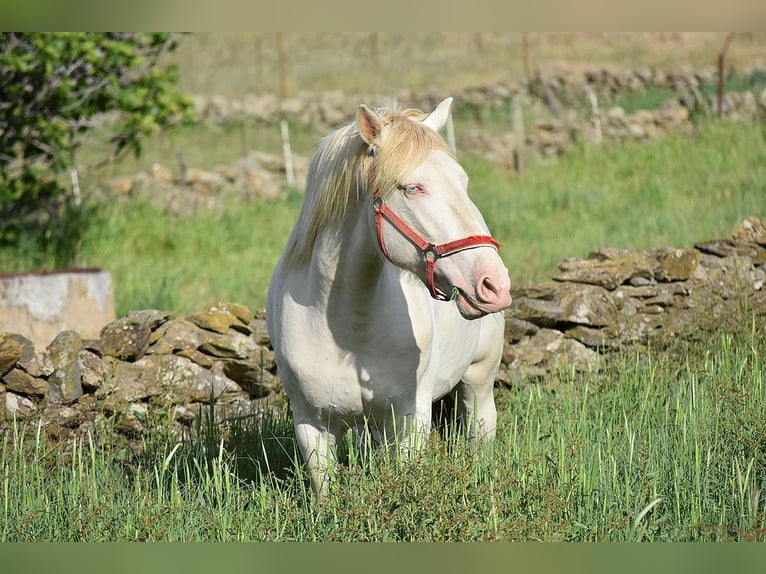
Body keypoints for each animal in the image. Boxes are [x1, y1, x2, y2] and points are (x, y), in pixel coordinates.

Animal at [268, 99, 512, 500]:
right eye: (413, 188)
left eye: (462, 181)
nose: (494, 284)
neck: (349, 327)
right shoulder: (311, 425)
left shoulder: (411, 420)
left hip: (479, 378)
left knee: (481, 430)